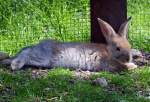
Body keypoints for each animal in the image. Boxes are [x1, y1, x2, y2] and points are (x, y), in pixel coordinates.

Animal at [0, 17, 137, 72]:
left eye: (130, 47)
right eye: (118, 48)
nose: (128, 58)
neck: (109, 52)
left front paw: (132, 64)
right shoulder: (108, 63)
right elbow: (122, 67)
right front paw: (132, 66)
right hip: (43, 57)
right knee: (26, 53)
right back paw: (15, 65)